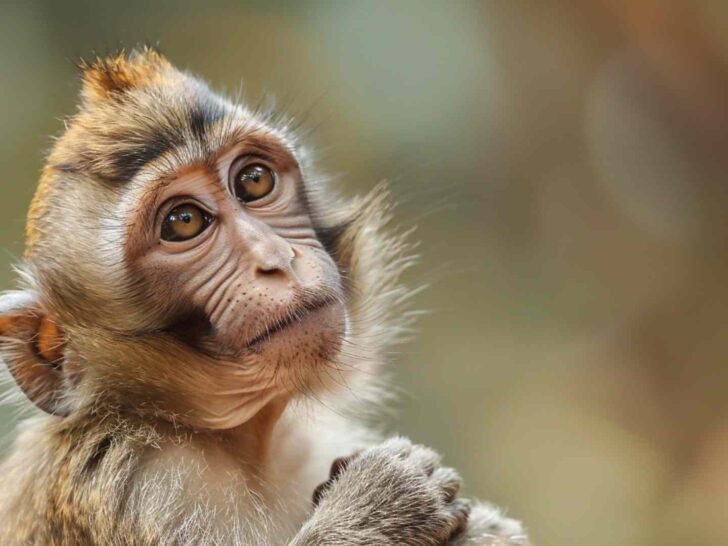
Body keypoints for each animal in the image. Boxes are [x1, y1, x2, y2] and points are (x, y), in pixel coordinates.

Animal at [0, 48, 529, 545]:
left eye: (253, 180)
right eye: (183, 222)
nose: (276, 257)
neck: (239, 442)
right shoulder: (150, 484)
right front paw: (388, 500)